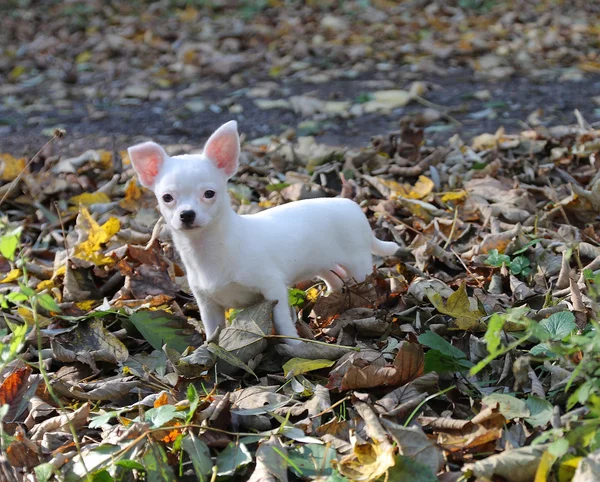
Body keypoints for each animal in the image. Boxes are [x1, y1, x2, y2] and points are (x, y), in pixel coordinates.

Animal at [127, 122, 398, 344]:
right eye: (167, 198)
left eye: (209, 194)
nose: (187, 214)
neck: (207, 250)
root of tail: (354, 207)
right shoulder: (208, 305)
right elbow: (213, 334)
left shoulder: (272, 288)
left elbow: (282, 323)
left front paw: (295, 349)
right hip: (322, 262)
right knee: (335, 277)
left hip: (358, 262)